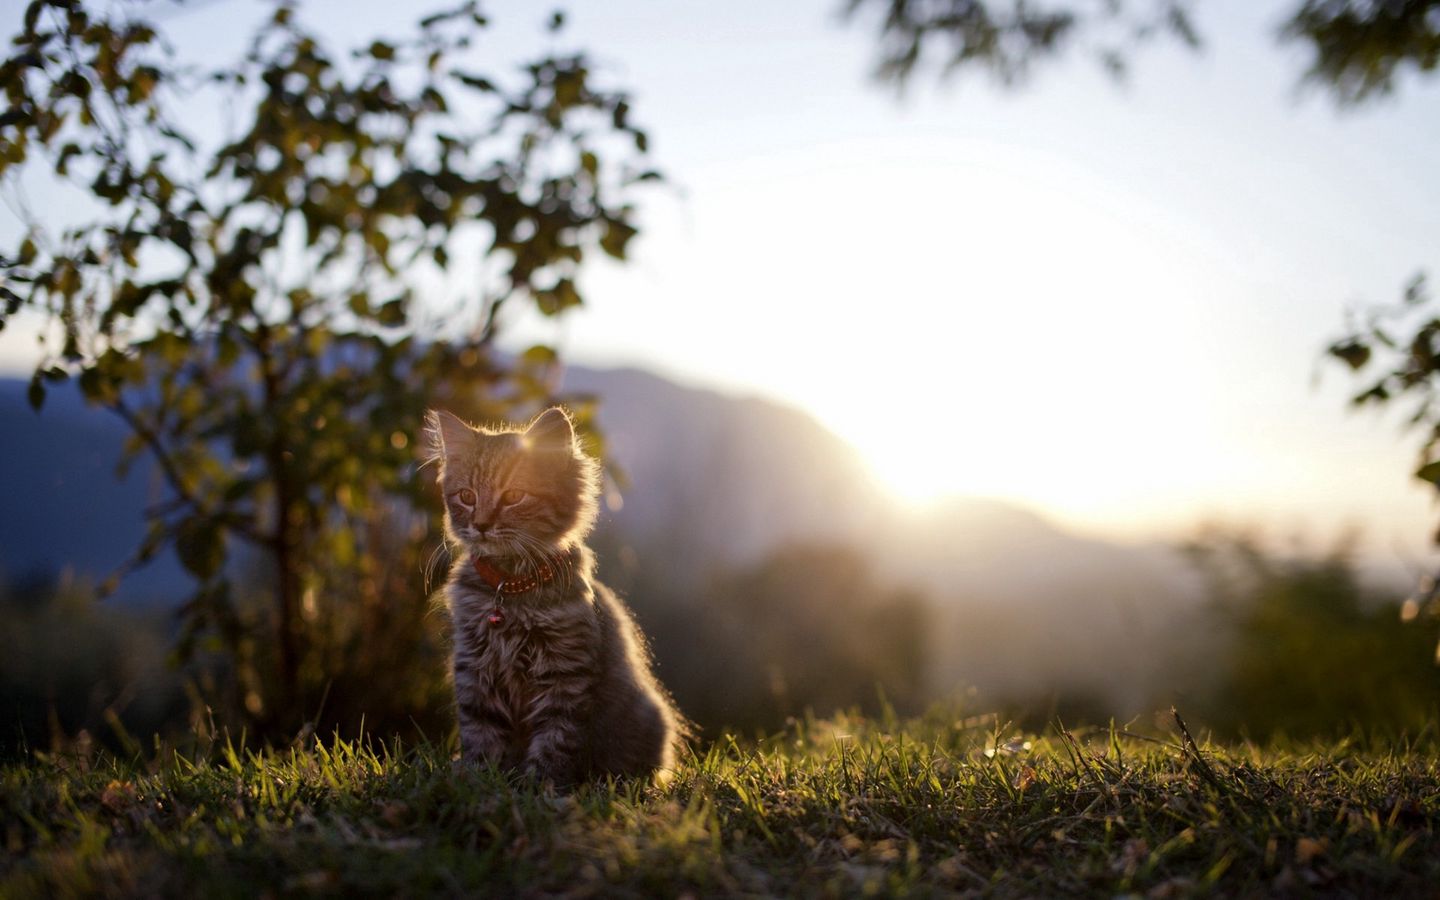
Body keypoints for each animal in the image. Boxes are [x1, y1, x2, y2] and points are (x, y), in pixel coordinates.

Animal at [423, 403, 682, 783]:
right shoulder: (475, 666)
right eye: (467, 497)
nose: (481, 525)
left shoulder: (564, 672)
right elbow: (481, 733)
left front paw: (539, 784)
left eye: (513, 497)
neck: (511, 587)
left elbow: (556, 739)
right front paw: (480, 778)